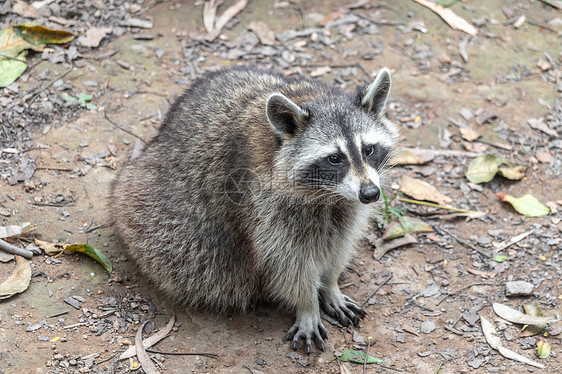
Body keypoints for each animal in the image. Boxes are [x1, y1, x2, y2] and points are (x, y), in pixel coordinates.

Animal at [109, 65, 396, 354]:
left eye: (368, 149)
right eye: (334, 159)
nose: (370, 194)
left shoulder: (346, 206)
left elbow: (340, 244)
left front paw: (330, 285)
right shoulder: (263, 206)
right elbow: (287, 263)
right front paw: (307, 304)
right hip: (158, 209)